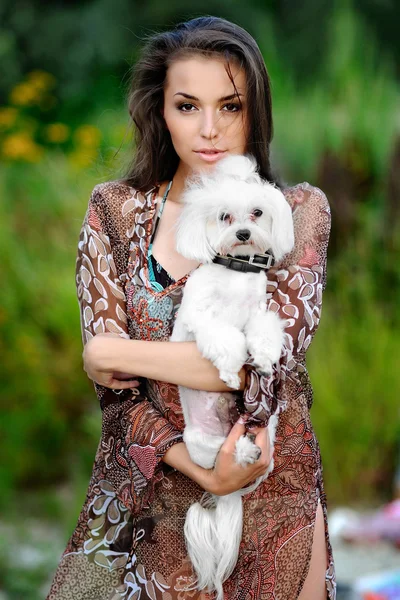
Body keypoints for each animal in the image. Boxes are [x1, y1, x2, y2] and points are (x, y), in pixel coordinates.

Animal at [169, 154, 294, 596]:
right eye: (224, 216)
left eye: (257, 213)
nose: (242, 233)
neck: (236, 274)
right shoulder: (199, 318)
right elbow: (225, 338)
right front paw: (229, 367)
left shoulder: (258, 311)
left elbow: (262, 329)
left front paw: (265, 353)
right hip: (201, 443)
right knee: (223, 456)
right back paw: (240, 452)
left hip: (268, 423)